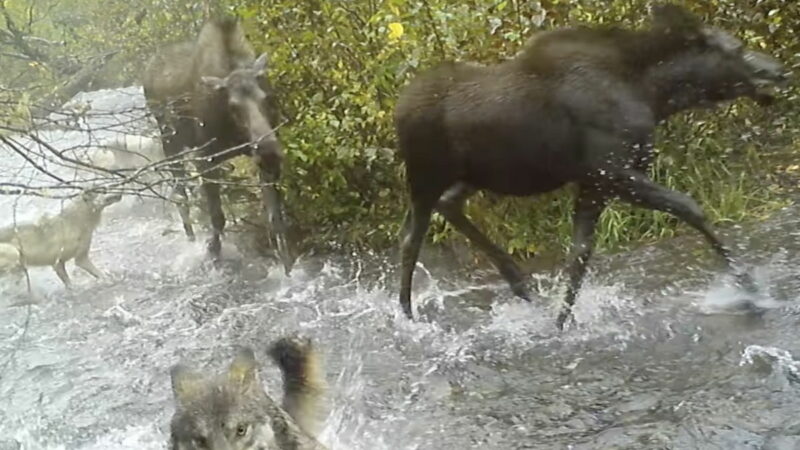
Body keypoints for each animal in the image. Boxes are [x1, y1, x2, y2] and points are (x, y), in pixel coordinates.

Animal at [144, 15, 294, 274]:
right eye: (233, 105)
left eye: (267, 98)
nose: (269, 152)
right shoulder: (206, 158)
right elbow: (217, 216)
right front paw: (212, 254)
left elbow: (276, 218)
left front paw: (287, 270)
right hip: (170, 142)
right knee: (181, 195)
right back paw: (191, 239)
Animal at [396, 4, 788, 330]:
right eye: (737, 49)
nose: (780, 71)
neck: (654, 95)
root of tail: (398, 111)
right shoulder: (614, 173)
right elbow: (690, 207)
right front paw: (751, 291)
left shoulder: (594, 182)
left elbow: (579, 255)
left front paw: (560, 323)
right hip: (425, 175)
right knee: (411, 239)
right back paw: (407, 315)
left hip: (475, 176)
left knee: (449, 205)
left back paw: (519, 282)